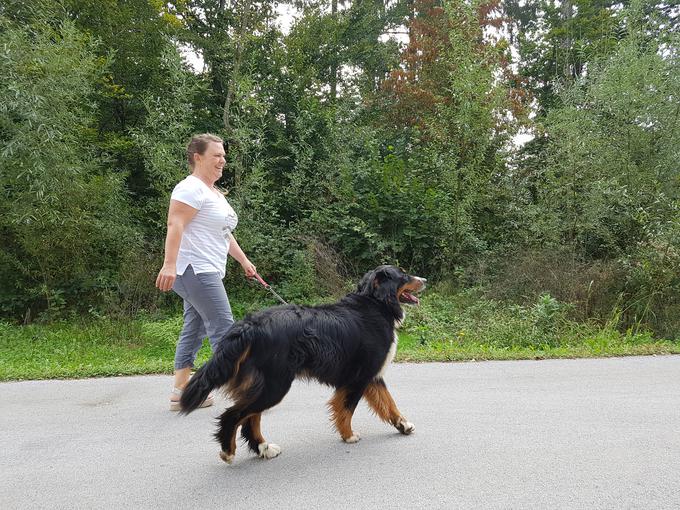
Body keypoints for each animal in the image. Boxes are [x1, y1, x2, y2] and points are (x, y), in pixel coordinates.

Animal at [181, 264, 424, 464]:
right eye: (403, 275)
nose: (425, 280)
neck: (375, 304)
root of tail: (251, 325)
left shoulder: (371, 376)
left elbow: (389, 403)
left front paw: (402, 425)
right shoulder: (360, 377)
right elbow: (347, 408)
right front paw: (348, 435)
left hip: (263, 385)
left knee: (251, 418)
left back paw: (264, 448)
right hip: (275, 385)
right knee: (235, 415)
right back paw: (228, 450)